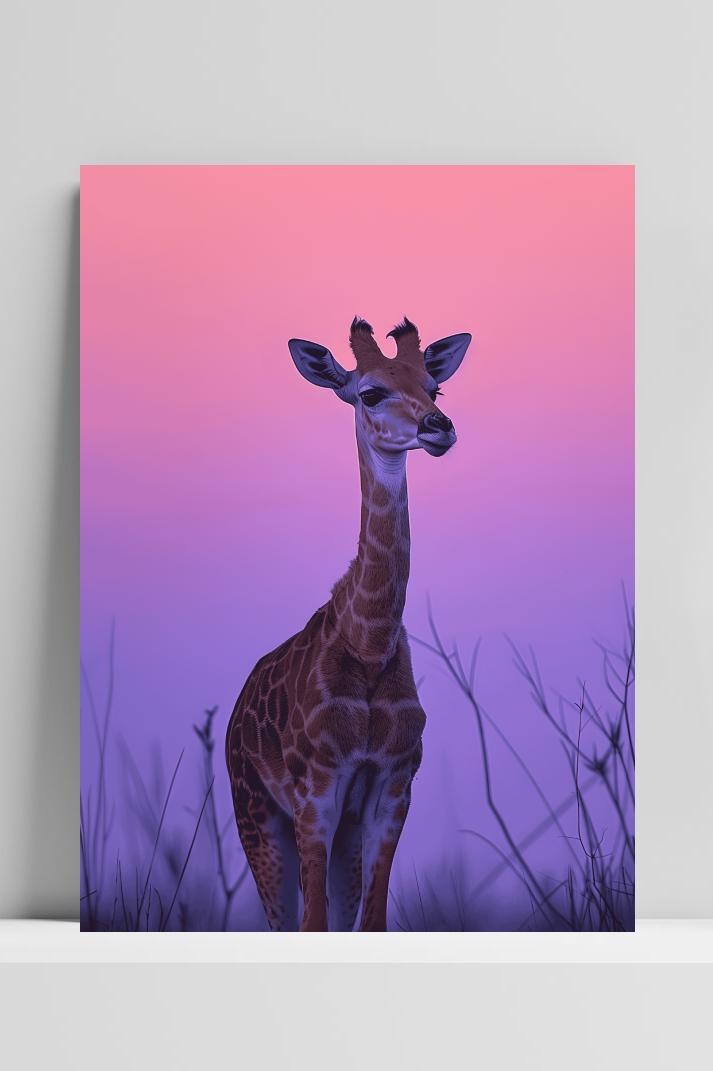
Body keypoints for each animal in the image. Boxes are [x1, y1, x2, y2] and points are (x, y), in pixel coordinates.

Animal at [225, 316, 471, 931]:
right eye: (370, 392)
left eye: (434, 390)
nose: (439, 427)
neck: (371, 641)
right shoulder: (316, 790)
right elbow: (312, 922)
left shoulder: (392, 786)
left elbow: (373, 920)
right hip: (256, 815)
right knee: (282, 918)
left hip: (340, 834)